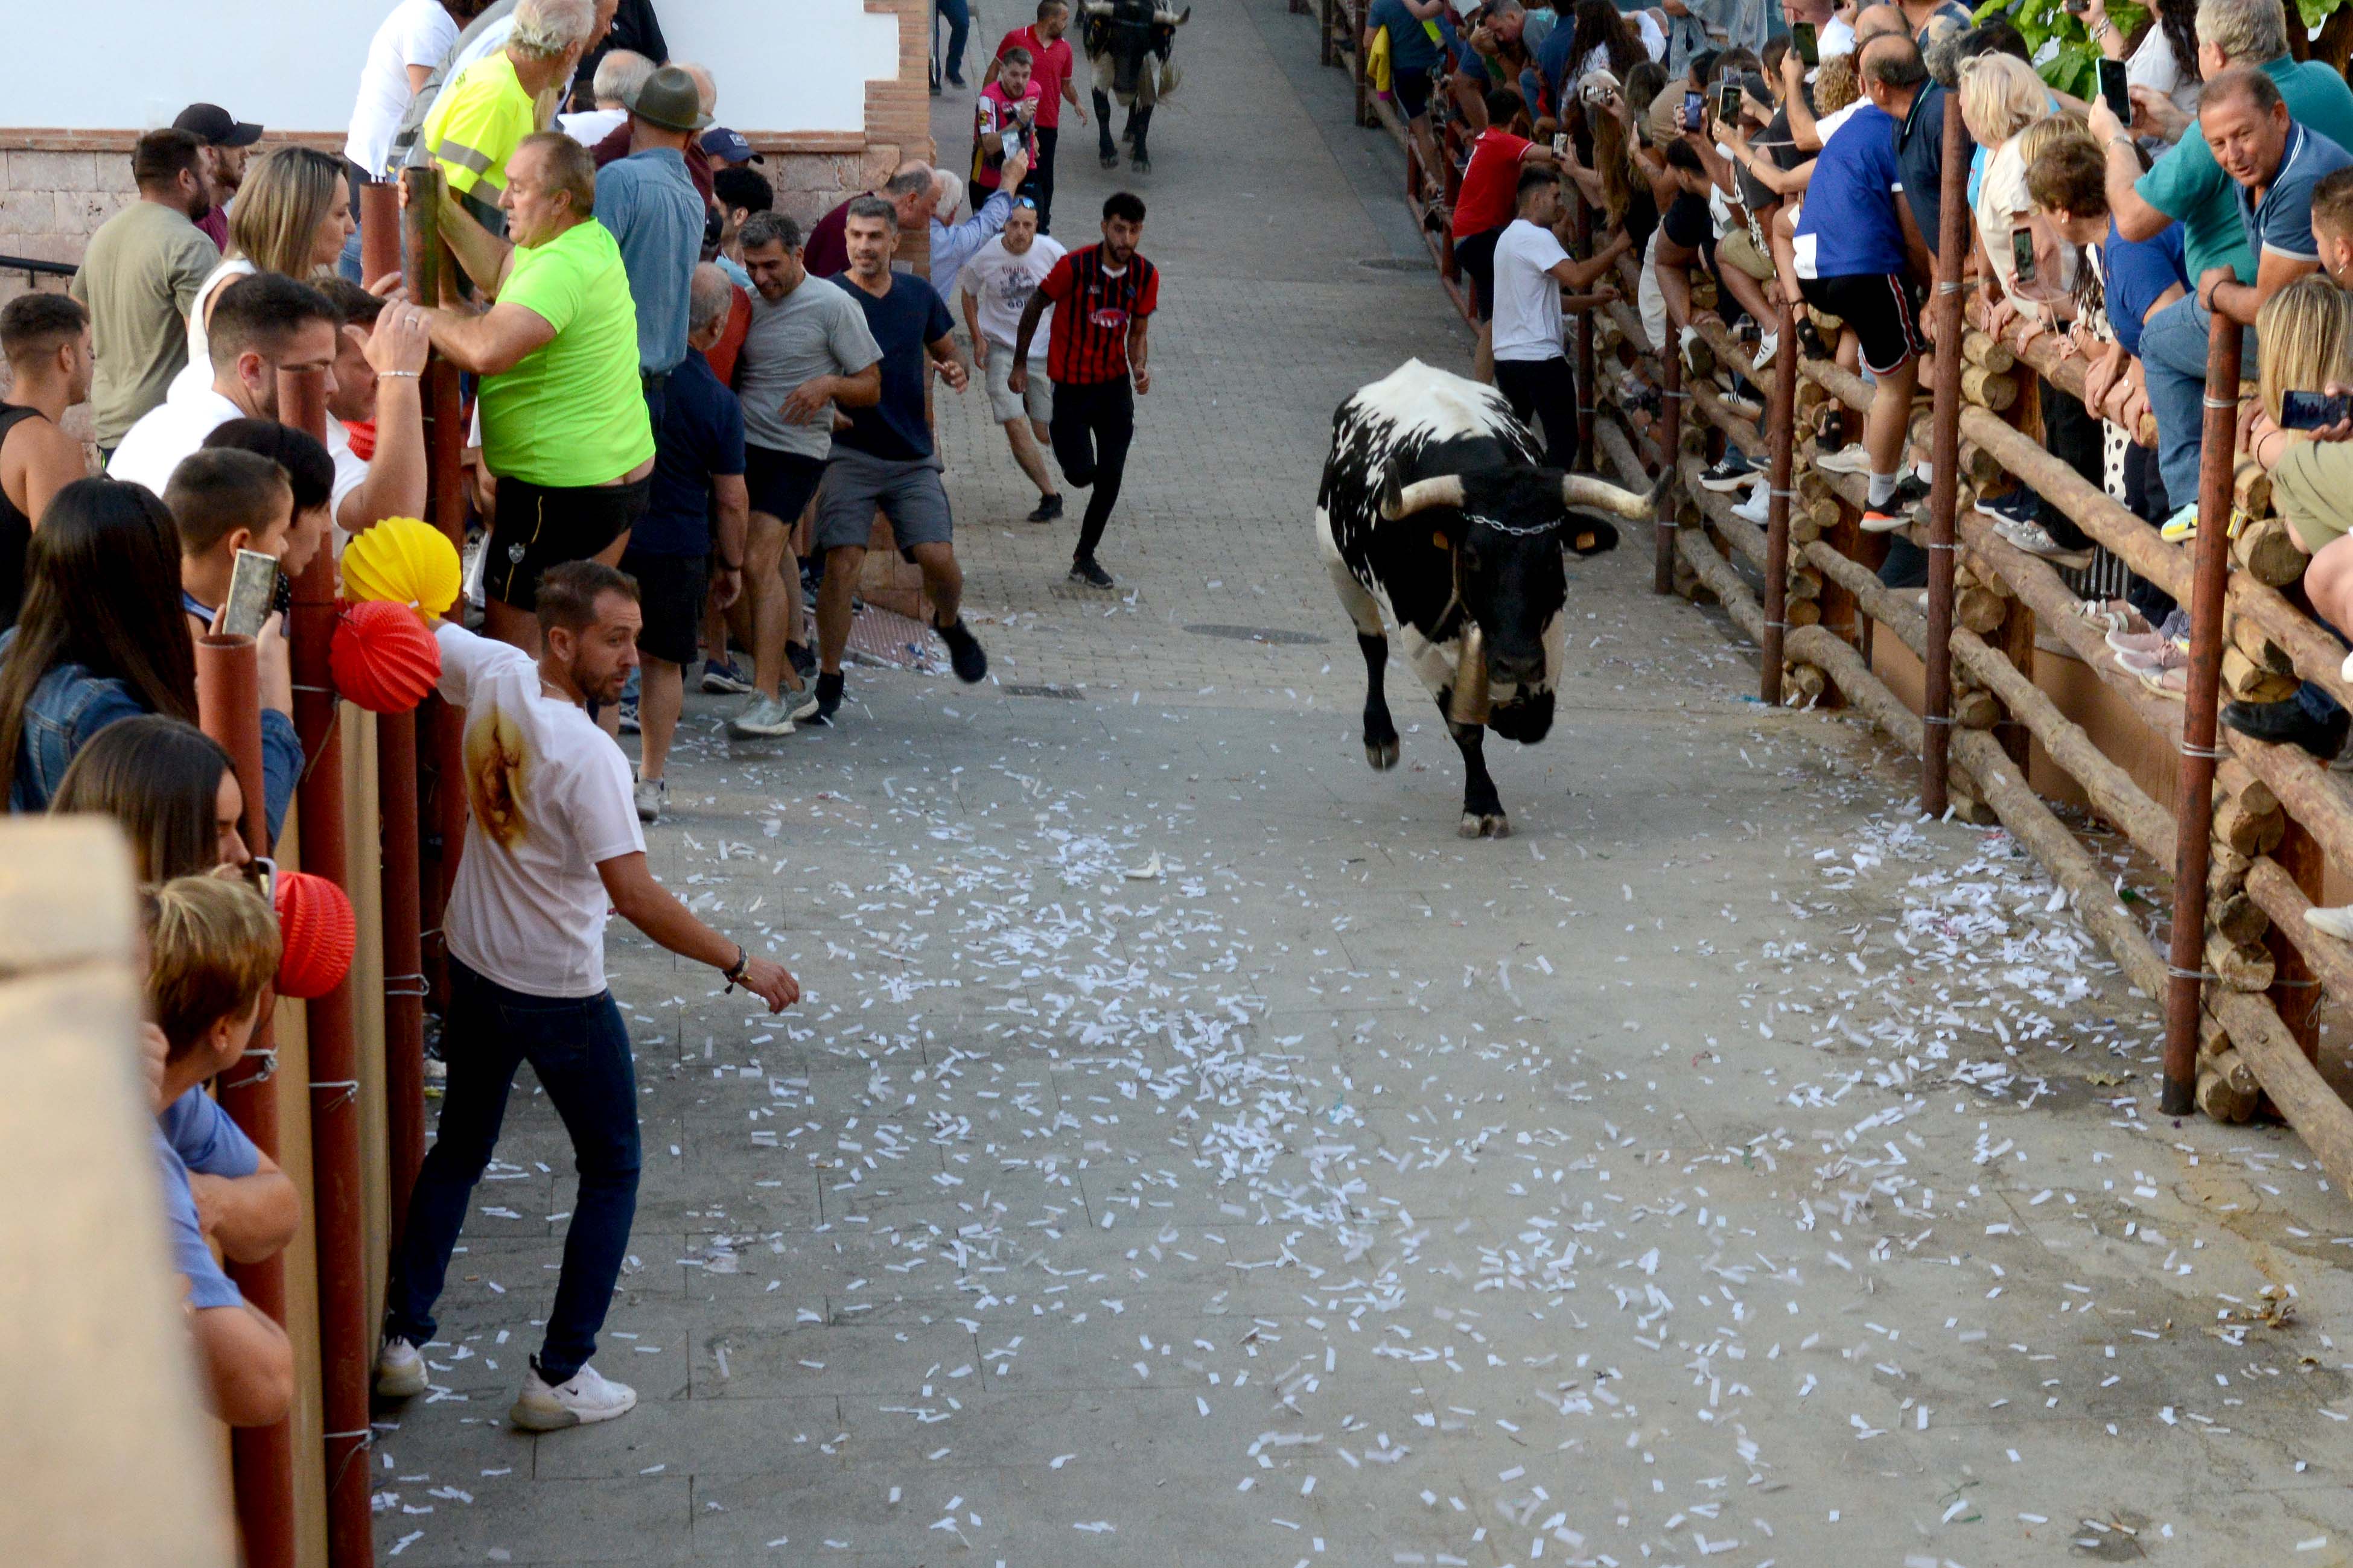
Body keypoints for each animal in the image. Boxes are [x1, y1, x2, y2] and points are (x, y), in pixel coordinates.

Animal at [1087, 0, 1195, 173]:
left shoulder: (1153, 72)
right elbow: (1102, 110)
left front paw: (1141, 156)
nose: (1124, 88)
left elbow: (1145, 113)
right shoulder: (1099, 69)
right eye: (1114, 38)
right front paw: (1108, 153)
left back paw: (1132, 134)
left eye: (1145, 45)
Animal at [1327, 360, 1656, 841]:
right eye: (1471, 557)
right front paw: (1482, 805)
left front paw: (1508, 714)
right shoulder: (1419, 636)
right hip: (1337, 565)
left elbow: (1534, 717)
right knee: (1372, 646)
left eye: (1551, 558)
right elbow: (1464, 728)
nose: (1515, 661)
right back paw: (1380, 737)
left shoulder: (1548, 630)